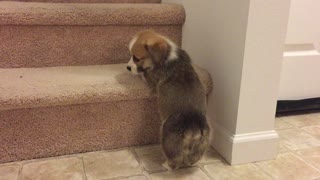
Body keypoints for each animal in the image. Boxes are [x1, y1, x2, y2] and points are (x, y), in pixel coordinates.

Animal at [126, 29, 211, 170]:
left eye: (137, 58)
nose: (127, 67)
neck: (167, 55)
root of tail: (193, 128)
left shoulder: (151, 78)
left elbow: (144, 73)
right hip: (201, 144)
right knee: (192, 159)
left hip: (166, 137)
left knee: (174, 160)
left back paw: (166, 165)